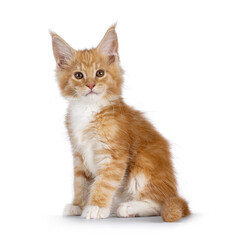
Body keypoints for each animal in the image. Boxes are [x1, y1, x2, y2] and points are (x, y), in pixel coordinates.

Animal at [50, 23, 189, 221]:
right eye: (78, 75)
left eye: (100, 73)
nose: (90, 85)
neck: (88, 109)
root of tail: (174, 194)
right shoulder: (78, 155)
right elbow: (80, 183)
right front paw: (78, 205)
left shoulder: (114, 155)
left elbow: (104, 182)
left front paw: (95, 207)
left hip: (144, 163)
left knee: (158, 204)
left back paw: (128, 207)